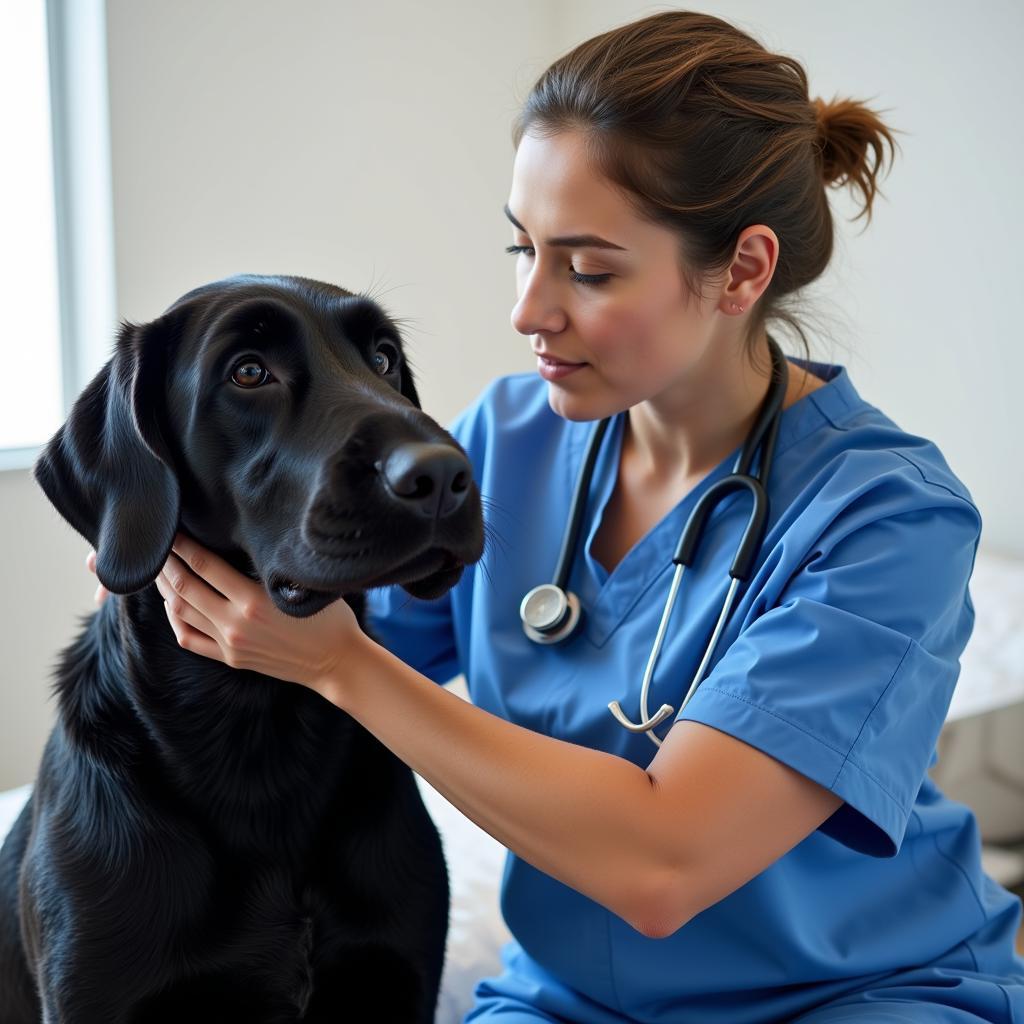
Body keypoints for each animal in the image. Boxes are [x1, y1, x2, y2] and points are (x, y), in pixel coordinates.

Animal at [0, 276, 483, 1019]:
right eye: (249, 373)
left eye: (383, 358)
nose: (442, 475)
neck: (259, 725)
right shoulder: (91, 992)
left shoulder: (404, 971)